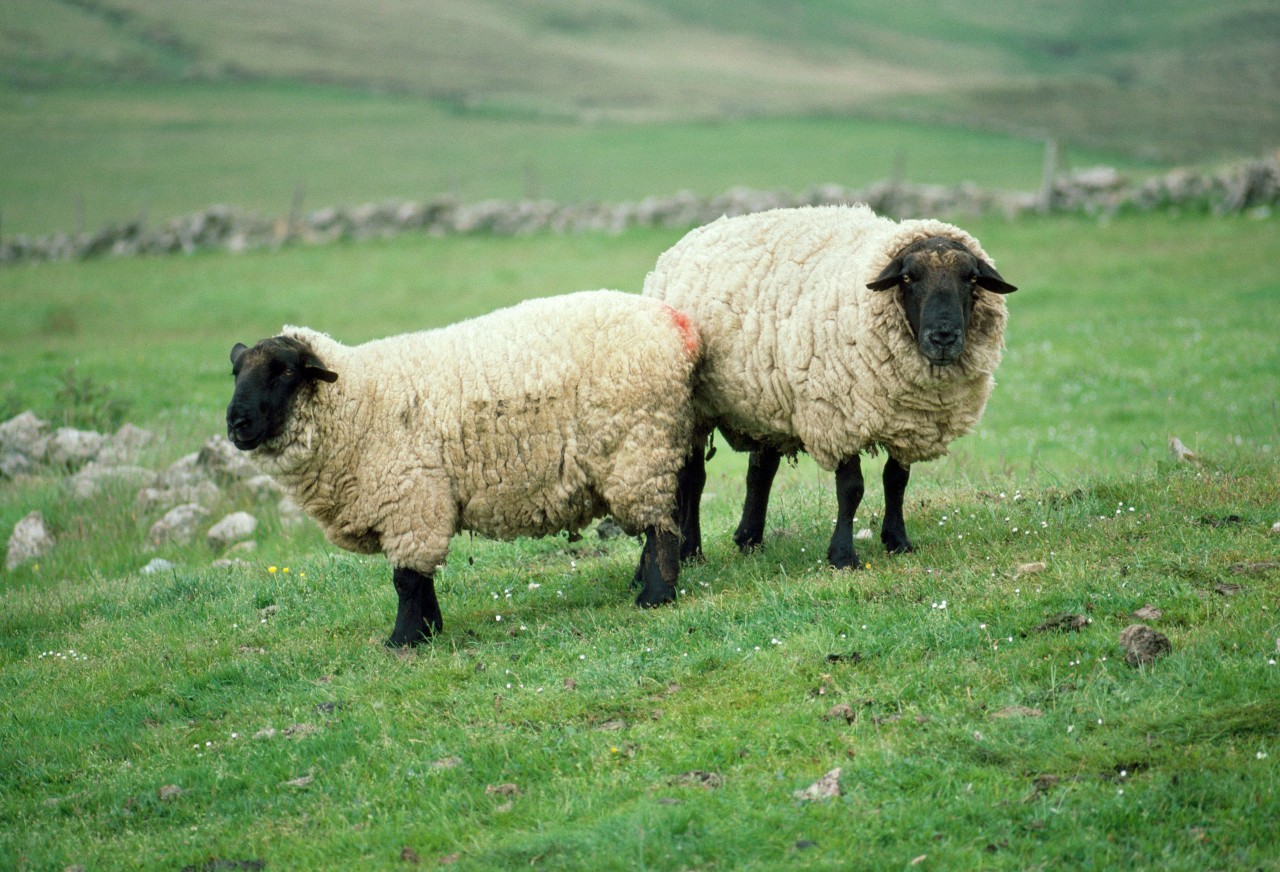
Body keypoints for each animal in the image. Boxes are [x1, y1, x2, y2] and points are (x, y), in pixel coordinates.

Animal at [222, 289, 701, 642]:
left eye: (286, 371)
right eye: (236, 373)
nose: (236, 422)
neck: (359, 400)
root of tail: (677, 324)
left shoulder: (411, 500)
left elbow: (406, 579)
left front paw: (405, 639)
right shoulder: (416, 506)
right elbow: (418, 578)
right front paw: (429, 629)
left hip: (639, 444)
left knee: (661, 522)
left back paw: (655, 596)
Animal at [645, 204, 1013, 571]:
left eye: (972, 279)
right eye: (908, 278)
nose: (943, 338)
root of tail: (690, 238)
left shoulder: (907, 421)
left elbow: (896, 481)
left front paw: (898, 541)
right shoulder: (837, 417)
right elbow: (851, 489)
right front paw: (843, 555)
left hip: (769, 399)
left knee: (760, 472)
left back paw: (749, 539)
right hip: (694, 407)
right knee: (693, 478)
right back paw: (692, 551)